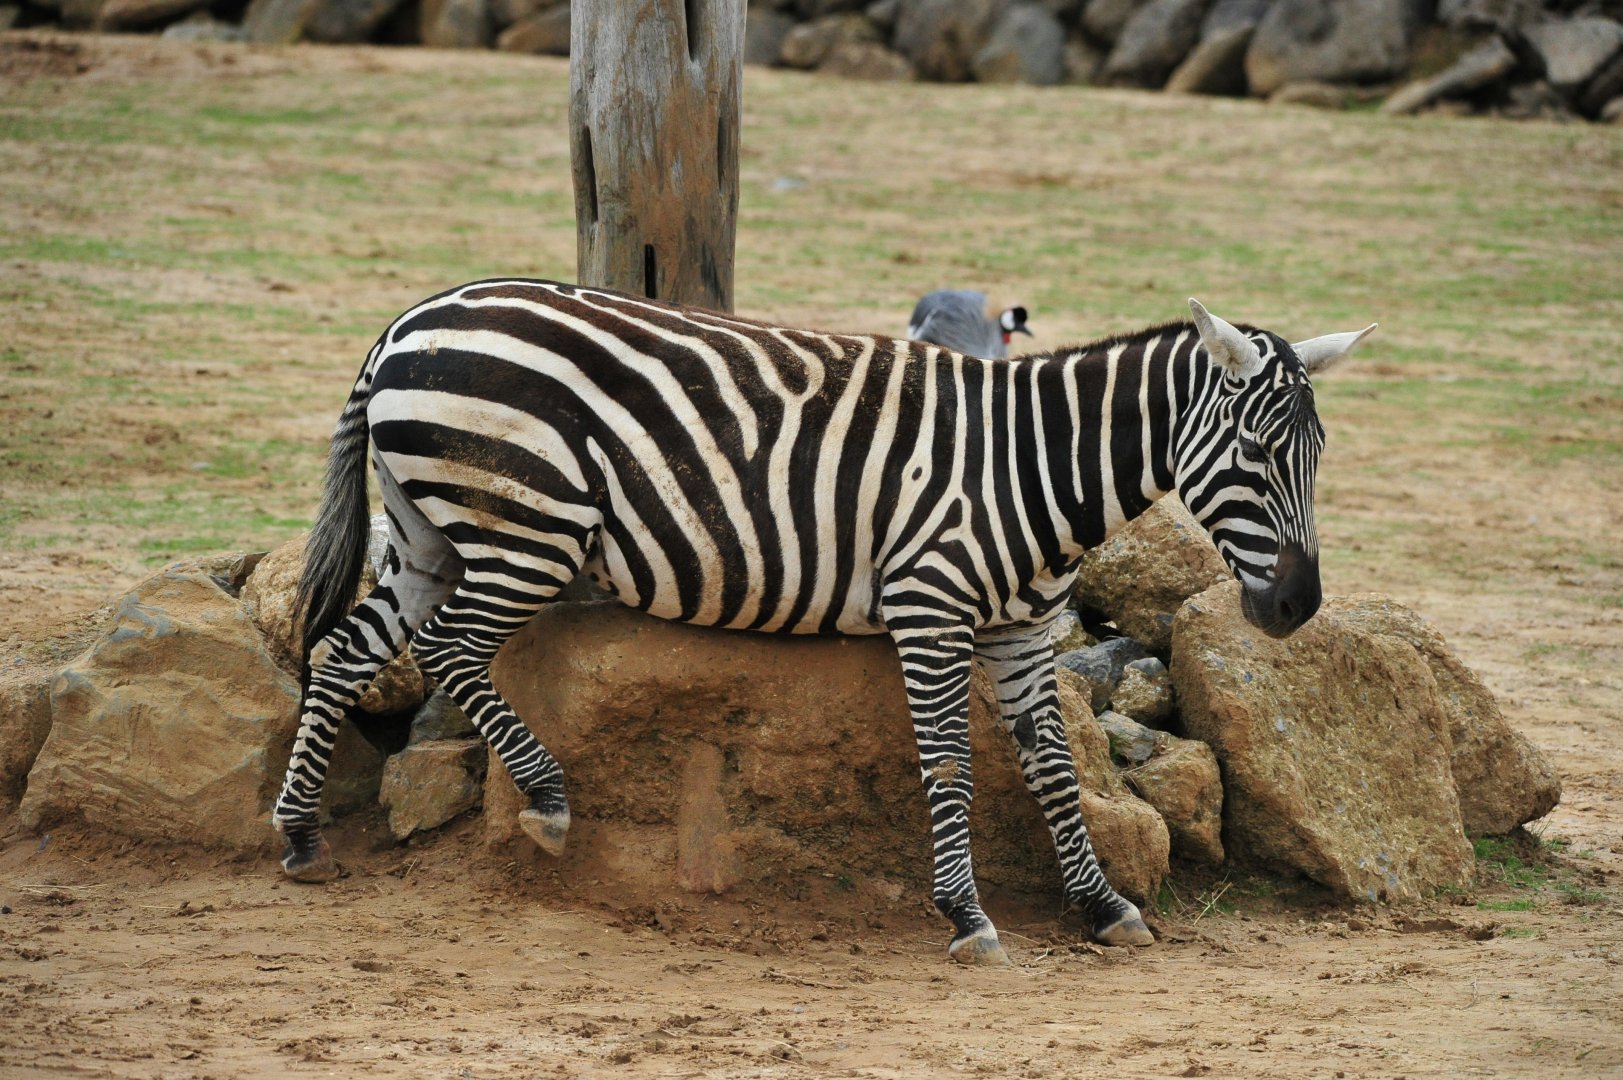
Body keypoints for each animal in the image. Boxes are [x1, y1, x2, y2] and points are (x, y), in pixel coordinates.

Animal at [272, 279, 1375, 965]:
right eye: (1257, 451)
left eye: (1318, 453)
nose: (1297, 608)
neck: (1031, 468)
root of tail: (411, 319)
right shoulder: (928, 607)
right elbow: (948, 765)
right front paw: (966, 914)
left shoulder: (1023, 630)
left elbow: (1056, 769)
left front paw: (1103, 905)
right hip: (522, 524)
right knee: (447, 645)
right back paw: (543, 797)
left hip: (428, 530)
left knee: (347, 648)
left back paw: (298, 835)